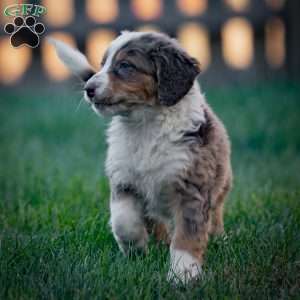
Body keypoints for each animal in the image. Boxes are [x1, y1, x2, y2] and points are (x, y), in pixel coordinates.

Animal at [50, 30, 232, 284]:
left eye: (125, 65)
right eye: (102, 64)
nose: (88, 88)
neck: (145, 125)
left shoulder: (191, 187)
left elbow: (187, 234)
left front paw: (183, 275)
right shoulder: (124, 179)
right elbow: (123, 220)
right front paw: (136, 249)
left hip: (220, 185)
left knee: (214, 216)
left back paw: (218, 239)